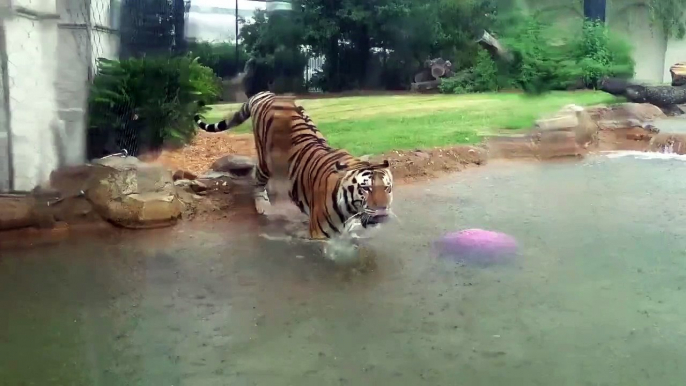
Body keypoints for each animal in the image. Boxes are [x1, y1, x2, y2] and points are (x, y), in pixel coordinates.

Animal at [196, 91, 396, 240]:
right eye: (366, 188)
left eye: (387, 188)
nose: (382, 210)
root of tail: (267, 94)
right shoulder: (320, 234)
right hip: (266, 159)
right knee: (257, 176)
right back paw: (263, 205)